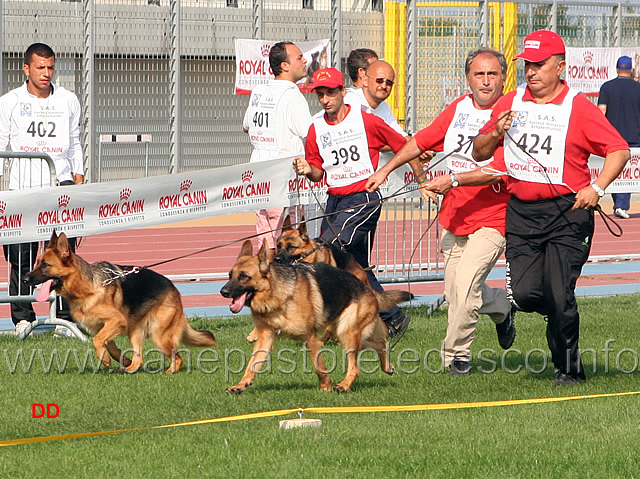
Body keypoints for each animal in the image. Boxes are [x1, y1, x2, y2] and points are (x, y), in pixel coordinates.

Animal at [25, 232, 218, 376]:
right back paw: (131, 367)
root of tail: (174, 289)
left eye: (45, 264)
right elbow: (109, 346)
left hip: (159, 335)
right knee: (139, 358)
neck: (86, 286)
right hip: (135, 332)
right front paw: (120, 359)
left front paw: (104, 359)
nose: (25, 279)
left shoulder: (116, 321)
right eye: (37, 263)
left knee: (178, 357)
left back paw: (170, 372)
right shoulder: (104, 326)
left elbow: (98, 340)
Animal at [222, 240, 408, 394]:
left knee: (356, 367)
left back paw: (344, 385)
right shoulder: (265, 339)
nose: (223, 292)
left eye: (244, 276)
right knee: (380, 345)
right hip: (347, 333)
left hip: (347, 333)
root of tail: (366, 287)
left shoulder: (310, 337)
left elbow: (318, 366)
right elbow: (252, 364)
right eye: (230, 275)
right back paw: (387, 367)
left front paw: (325, 386)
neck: (277, 295)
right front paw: (241, 385)